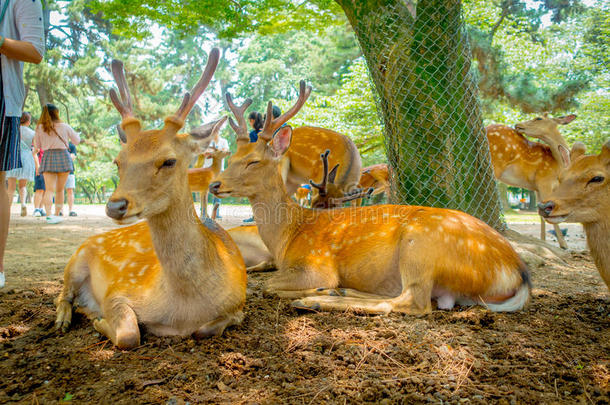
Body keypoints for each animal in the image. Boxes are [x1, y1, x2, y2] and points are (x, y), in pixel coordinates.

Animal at [53, 49, 246, 348]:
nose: (115, 205)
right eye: (118, 161)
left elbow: (205, 330)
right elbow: (130, 335)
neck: (184, 308)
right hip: (75, 259)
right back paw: (65, 318)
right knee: (62, 294)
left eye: (169, 160)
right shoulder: (119, 290)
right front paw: (99, 320)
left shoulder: (239, 304)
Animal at [484, 112, 576, 248]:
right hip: (496, 165)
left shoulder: (537, 186)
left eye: (538, 118)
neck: (559, 166)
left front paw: (543, 241)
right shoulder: (544, 181)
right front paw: (564, 245)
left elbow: (541, 214)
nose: (518, 124)